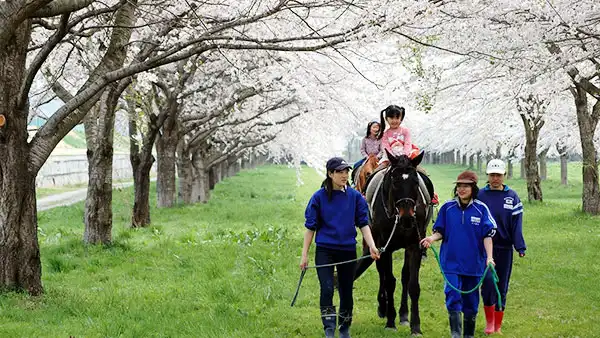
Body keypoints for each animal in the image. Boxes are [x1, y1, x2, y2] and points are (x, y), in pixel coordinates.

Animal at [354, 151, 434, 336]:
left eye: (415, 182)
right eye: (395, 181)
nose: (407, 217)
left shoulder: (414, 246)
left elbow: (413, 284)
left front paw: (415, 326)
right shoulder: (385, 247)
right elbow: (389, 281)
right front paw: (390, 321)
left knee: (404, 276)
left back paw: (403, 314)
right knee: (382, 274)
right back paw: (383, 307)